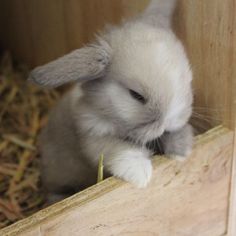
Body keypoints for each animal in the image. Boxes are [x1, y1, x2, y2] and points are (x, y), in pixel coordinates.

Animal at [29, 0, 194, 203]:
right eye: (136, 95)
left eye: (187, 81)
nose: (168, 122)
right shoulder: (92, 137)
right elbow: (117, 149)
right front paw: (141, 173)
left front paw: (182, 150)